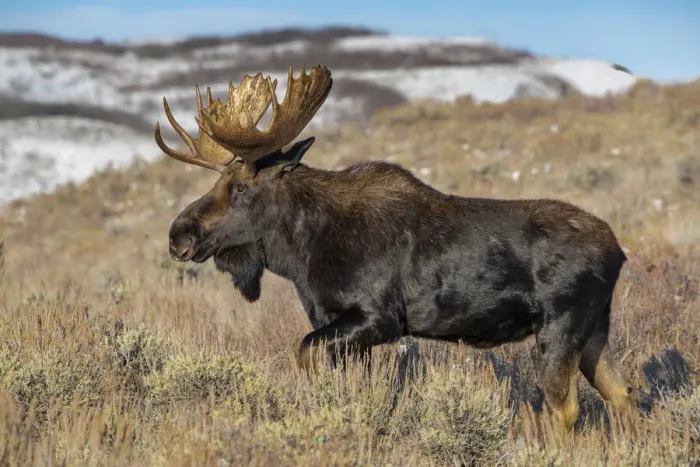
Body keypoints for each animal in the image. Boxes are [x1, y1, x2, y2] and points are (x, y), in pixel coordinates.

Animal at [155, 64, 639, 431]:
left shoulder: (379, 317)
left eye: (240, 187)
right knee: (623, 395)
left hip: (560, 326)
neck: (300, 254)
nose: (179, 235)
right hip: (594, 330)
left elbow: (306, 353)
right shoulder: (341, 325)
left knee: (566, 409)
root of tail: (618, 252)